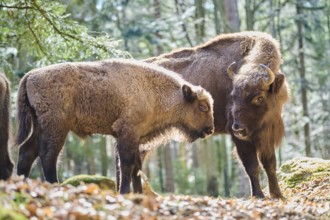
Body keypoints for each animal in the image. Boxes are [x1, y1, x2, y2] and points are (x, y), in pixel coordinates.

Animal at [15, 58, 214, 194]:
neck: (155, 93)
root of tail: (30, 75)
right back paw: (55, 185)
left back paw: (21, 182)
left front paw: (138, 194)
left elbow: (136, 168)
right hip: (56, 128)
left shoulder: (135, 138)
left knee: (27, 152)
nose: (210, 129)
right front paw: (124, 192)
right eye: (202, 107)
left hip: (40, 126)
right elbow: (126, 165)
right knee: (48, 156)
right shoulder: (127, 133)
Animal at [146, 31, 290, 199]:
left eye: (259, 97)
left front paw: (278, 195)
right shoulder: (241, 139)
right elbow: (252, 166)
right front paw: (259, 195)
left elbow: (270, 164)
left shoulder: (267, 134)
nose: (238, 128)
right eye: (233, 95)